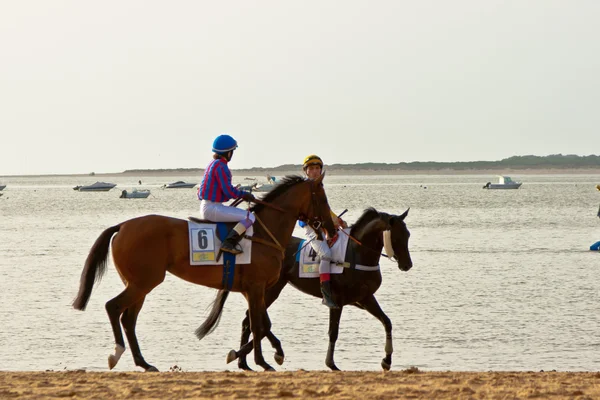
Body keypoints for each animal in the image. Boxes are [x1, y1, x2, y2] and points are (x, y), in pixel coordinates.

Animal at [72, 174, 336, 372]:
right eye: (322, 198)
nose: (332, 229)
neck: (264, 233)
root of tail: (123, 225)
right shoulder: (256, 288)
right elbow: (258, 324)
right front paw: (262, 360)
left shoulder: (253, 290)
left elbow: (262, 323)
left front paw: (269, 354)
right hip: (143, 283)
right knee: (113, 307)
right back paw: (117, 354)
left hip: (139, 284)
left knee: (128, 319)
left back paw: (144, 363)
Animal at [220, 208, 412, 370]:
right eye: (396, 237)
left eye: (408, 235)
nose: (407, 264)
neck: (356, 254)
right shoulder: (337, 300)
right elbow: (333, 332)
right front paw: (331, 363)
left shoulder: (365, 298)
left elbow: (387, 322)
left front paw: (387, 360)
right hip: (268, 290)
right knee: (254, 321)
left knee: (250, 320)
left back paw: (244, 361)